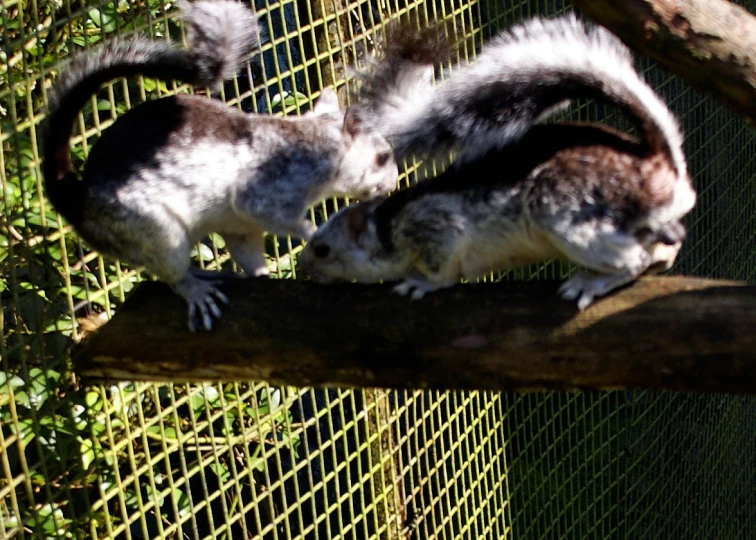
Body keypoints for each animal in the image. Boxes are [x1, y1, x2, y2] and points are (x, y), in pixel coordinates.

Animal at [42, 0, 396, 330]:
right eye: (382, 157)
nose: (392, 184)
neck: (315, 147)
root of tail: (74, 199)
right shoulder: (267, 191)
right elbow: (281, 217)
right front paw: (313, 232)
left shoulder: (240, 225)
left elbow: (249, 250)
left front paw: (265, 272)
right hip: (153, 230)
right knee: (171, 274)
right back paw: (195, 287)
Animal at [300, 15, 696, 308]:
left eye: (322, 249)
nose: (306, 271)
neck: (386, 225)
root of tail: (661, 167)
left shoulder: (436, 230)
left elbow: (443, 271)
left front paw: (420, 284)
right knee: (667, 245)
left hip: (569, 217)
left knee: (635, 260)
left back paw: (591, 283)